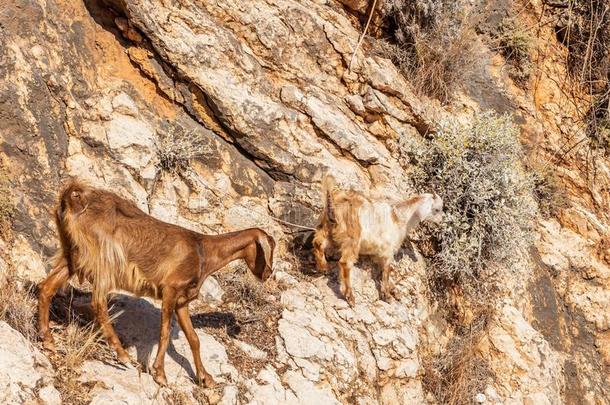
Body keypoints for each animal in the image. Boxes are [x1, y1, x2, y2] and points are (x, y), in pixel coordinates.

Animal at [36, 179, 274, 386]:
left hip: (72, 254)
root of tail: (73, 197)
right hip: (103, 258)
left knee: (47, 288)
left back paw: (47, 339)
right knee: (98, 303)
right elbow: (165, 332)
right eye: (268, 249)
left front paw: (205, 378)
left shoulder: (182, 301)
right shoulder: (170, 289)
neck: (203, 250)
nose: (268, 274)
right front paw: (160, 374)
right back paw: (122, 354)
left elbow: (194, 338)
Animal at [314, 175, 442, 304]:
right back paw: (350, 297)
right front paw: (387, 296)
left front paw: (394, 291)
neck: (398, 218)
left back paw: (323, 268)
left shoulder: (377, 253)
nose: (441, 223)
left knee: (318, 243)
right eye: (437, 209)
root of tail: (335, 205)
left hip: (324, 227)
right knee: (345, 263)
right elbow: (386, 271)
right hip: (352, 239)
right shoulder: (387, 251)